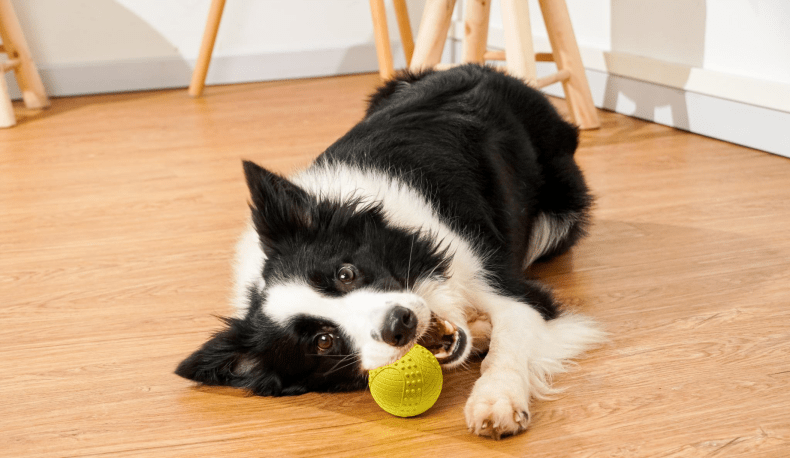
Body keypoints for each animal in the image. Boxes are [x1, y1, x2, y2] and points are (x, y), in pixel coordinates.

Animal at [176, 64, 604, 440]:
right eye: (323, 342)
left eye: (345, 274)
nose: (400, 324)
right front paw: (483, 339)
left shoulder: (501, 281)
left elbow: (510, 342)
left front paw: (495, 400)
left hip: (560, 213)